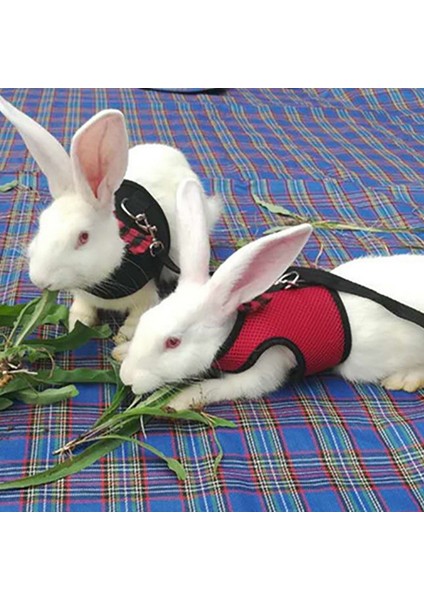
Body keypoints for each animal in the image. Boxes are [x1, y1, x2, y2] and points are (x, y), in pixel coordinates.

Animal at [0, 95, 220, 342]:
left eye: (83, 237)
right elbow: (82, 310)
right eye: (41, 225)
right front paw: (77, 323)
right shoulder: (84, 296)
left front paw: (122, 339)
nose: (40, 280)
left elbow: (137, 319)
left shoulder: (146, 295)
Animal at [117, 179, 424, 412]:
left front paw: (179, 401)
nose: (126, 378)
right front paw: (120, 351)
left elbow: (223, 386)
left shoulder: (267, 367)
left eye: (173, 342)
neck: (237, 331)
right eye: (145, 320)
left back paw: (403, 380)